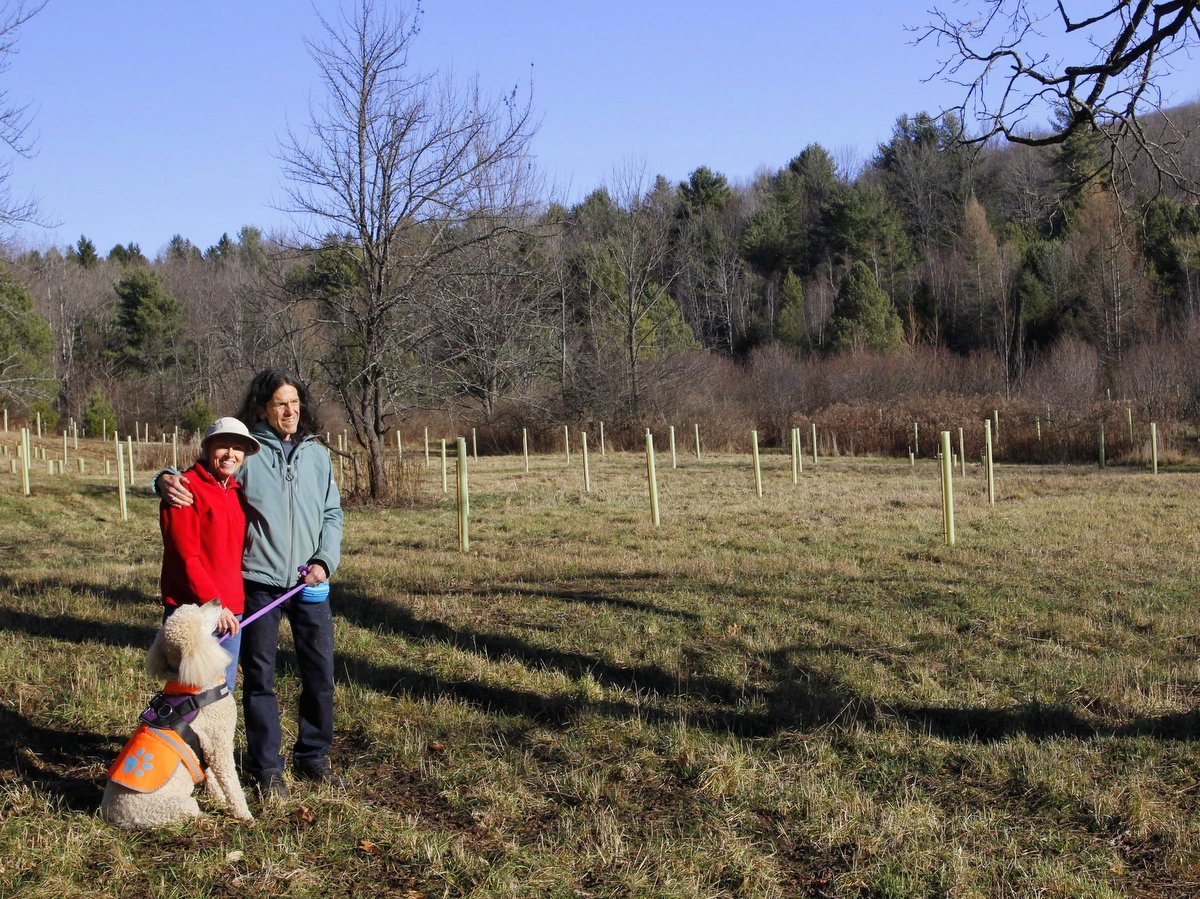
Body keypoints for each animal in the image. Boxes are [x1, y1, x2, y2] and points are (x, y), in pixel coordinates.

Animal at [100, 600, 253, 825]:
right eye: (201, 616)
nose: (217, 601)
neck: (195, 688)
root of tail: (111, 814)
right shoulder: (219, 744)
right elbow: (230, 782)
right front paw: (245, 815)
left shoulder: (207, 749)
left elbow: (214, 779)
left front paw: (219, 800)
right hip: (180, 806)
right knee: (194, 813)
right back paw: (209, 820)